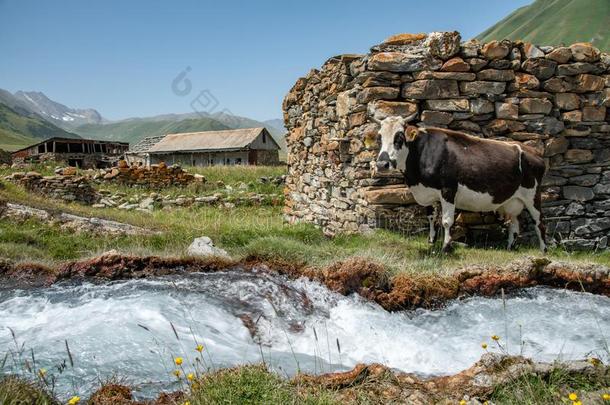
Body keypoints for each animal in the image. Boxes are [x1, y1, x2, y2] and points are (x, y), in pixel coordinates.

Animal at [376, 115, 548, 251]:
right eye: (379, 138)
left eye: (399, 137)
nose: (381, 164)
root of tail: (535, 153)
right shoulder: (427, 192)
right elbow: (431, 217)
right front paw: (431, 242)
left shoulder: (448, 190)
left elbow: (446, 221)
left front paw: (446, 247)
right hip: (512, 200)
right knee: (514, 224)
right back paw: (510, 248)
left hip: (533, 196)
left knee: (539, 222)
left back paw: (543, 250)